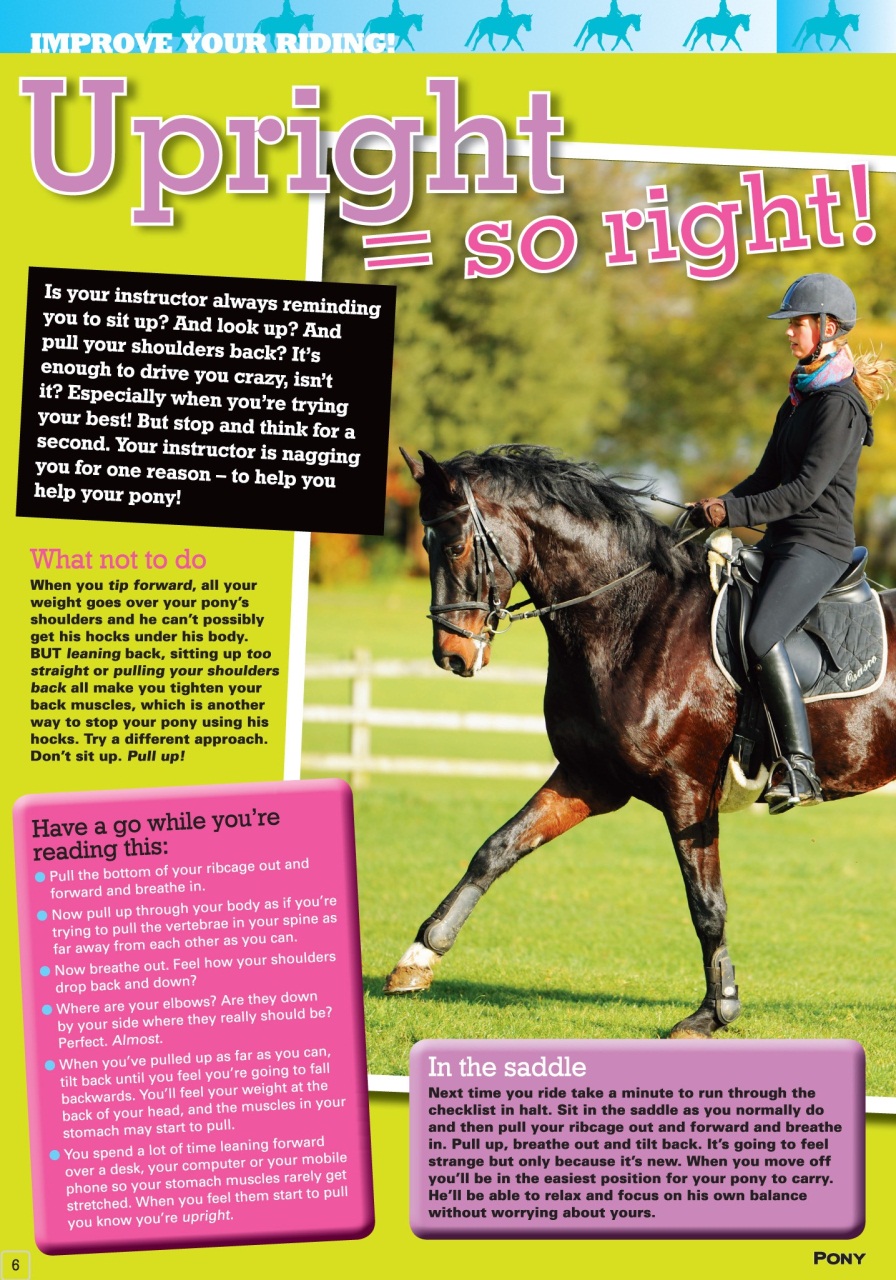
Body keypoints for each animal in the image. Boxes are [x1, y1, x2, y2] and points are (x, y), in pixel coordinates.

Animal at [383, 446, 896, 1038]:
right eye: (425, 544)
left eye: (456, 545)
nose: (452, 656)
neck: (633, 618)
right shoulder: (588, 780)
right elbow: (495, 851)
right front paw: (418, 959)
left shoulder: (688, 793)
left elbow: (707, 905)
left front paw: (714, 1011)